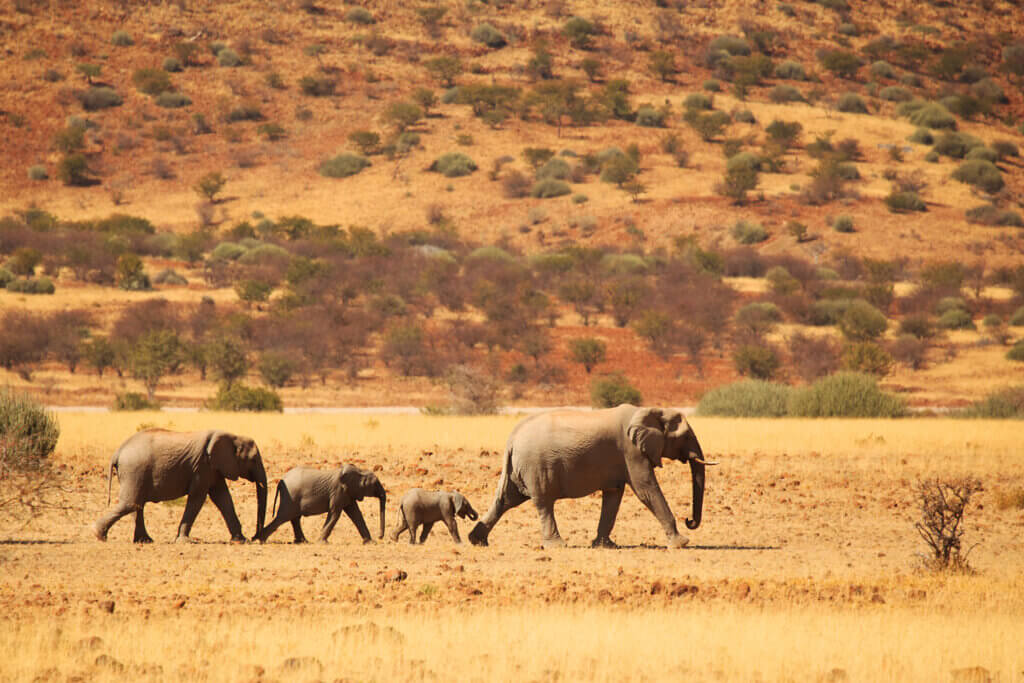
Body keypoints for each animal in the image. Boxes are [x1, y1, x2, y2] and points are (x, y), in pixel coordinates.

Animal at [92, 428, 268, 544]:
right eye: (253, 460)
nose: (256, 537)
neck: (233, 436)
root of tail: (118, 452)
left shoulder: (213, 468)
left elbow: (223, 498)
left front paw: (241, 540)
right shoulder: (202, 467)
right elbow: (198, 498)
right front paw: (185, 542)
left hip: (133, 472)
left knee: (136, 505)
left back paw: (145, 541)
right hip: (134, 470)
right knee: (131, 504)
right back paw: (98, 535)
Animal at [253, 464, 385, 544]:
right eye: (376, 484)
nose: (380, 537)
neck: (359, 471)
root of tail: (281, 480)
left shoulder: (348, 493)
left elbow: (356, 514)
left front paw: (370, 543)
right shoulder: (338, 491)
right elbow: (335, 513)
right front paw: (322, 542)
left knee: (294, 518)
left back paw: (303, 541)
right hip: (291, 496)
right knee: (283, 517)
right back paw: (261, 540)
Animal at [464, 405, 712, 548]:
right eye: (686, 436)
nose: (689, 520)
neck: (648, 410)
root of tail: (511, 439)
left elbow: (613, 495)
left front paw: (605, 545)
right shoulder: (631, 451)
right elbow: (646, 489)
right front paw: (681, 543)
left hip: (520, 468)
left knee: (506, 500)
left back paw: (476, 541)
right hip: (536, 466)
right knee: (543, 503)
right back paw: (557, 545)